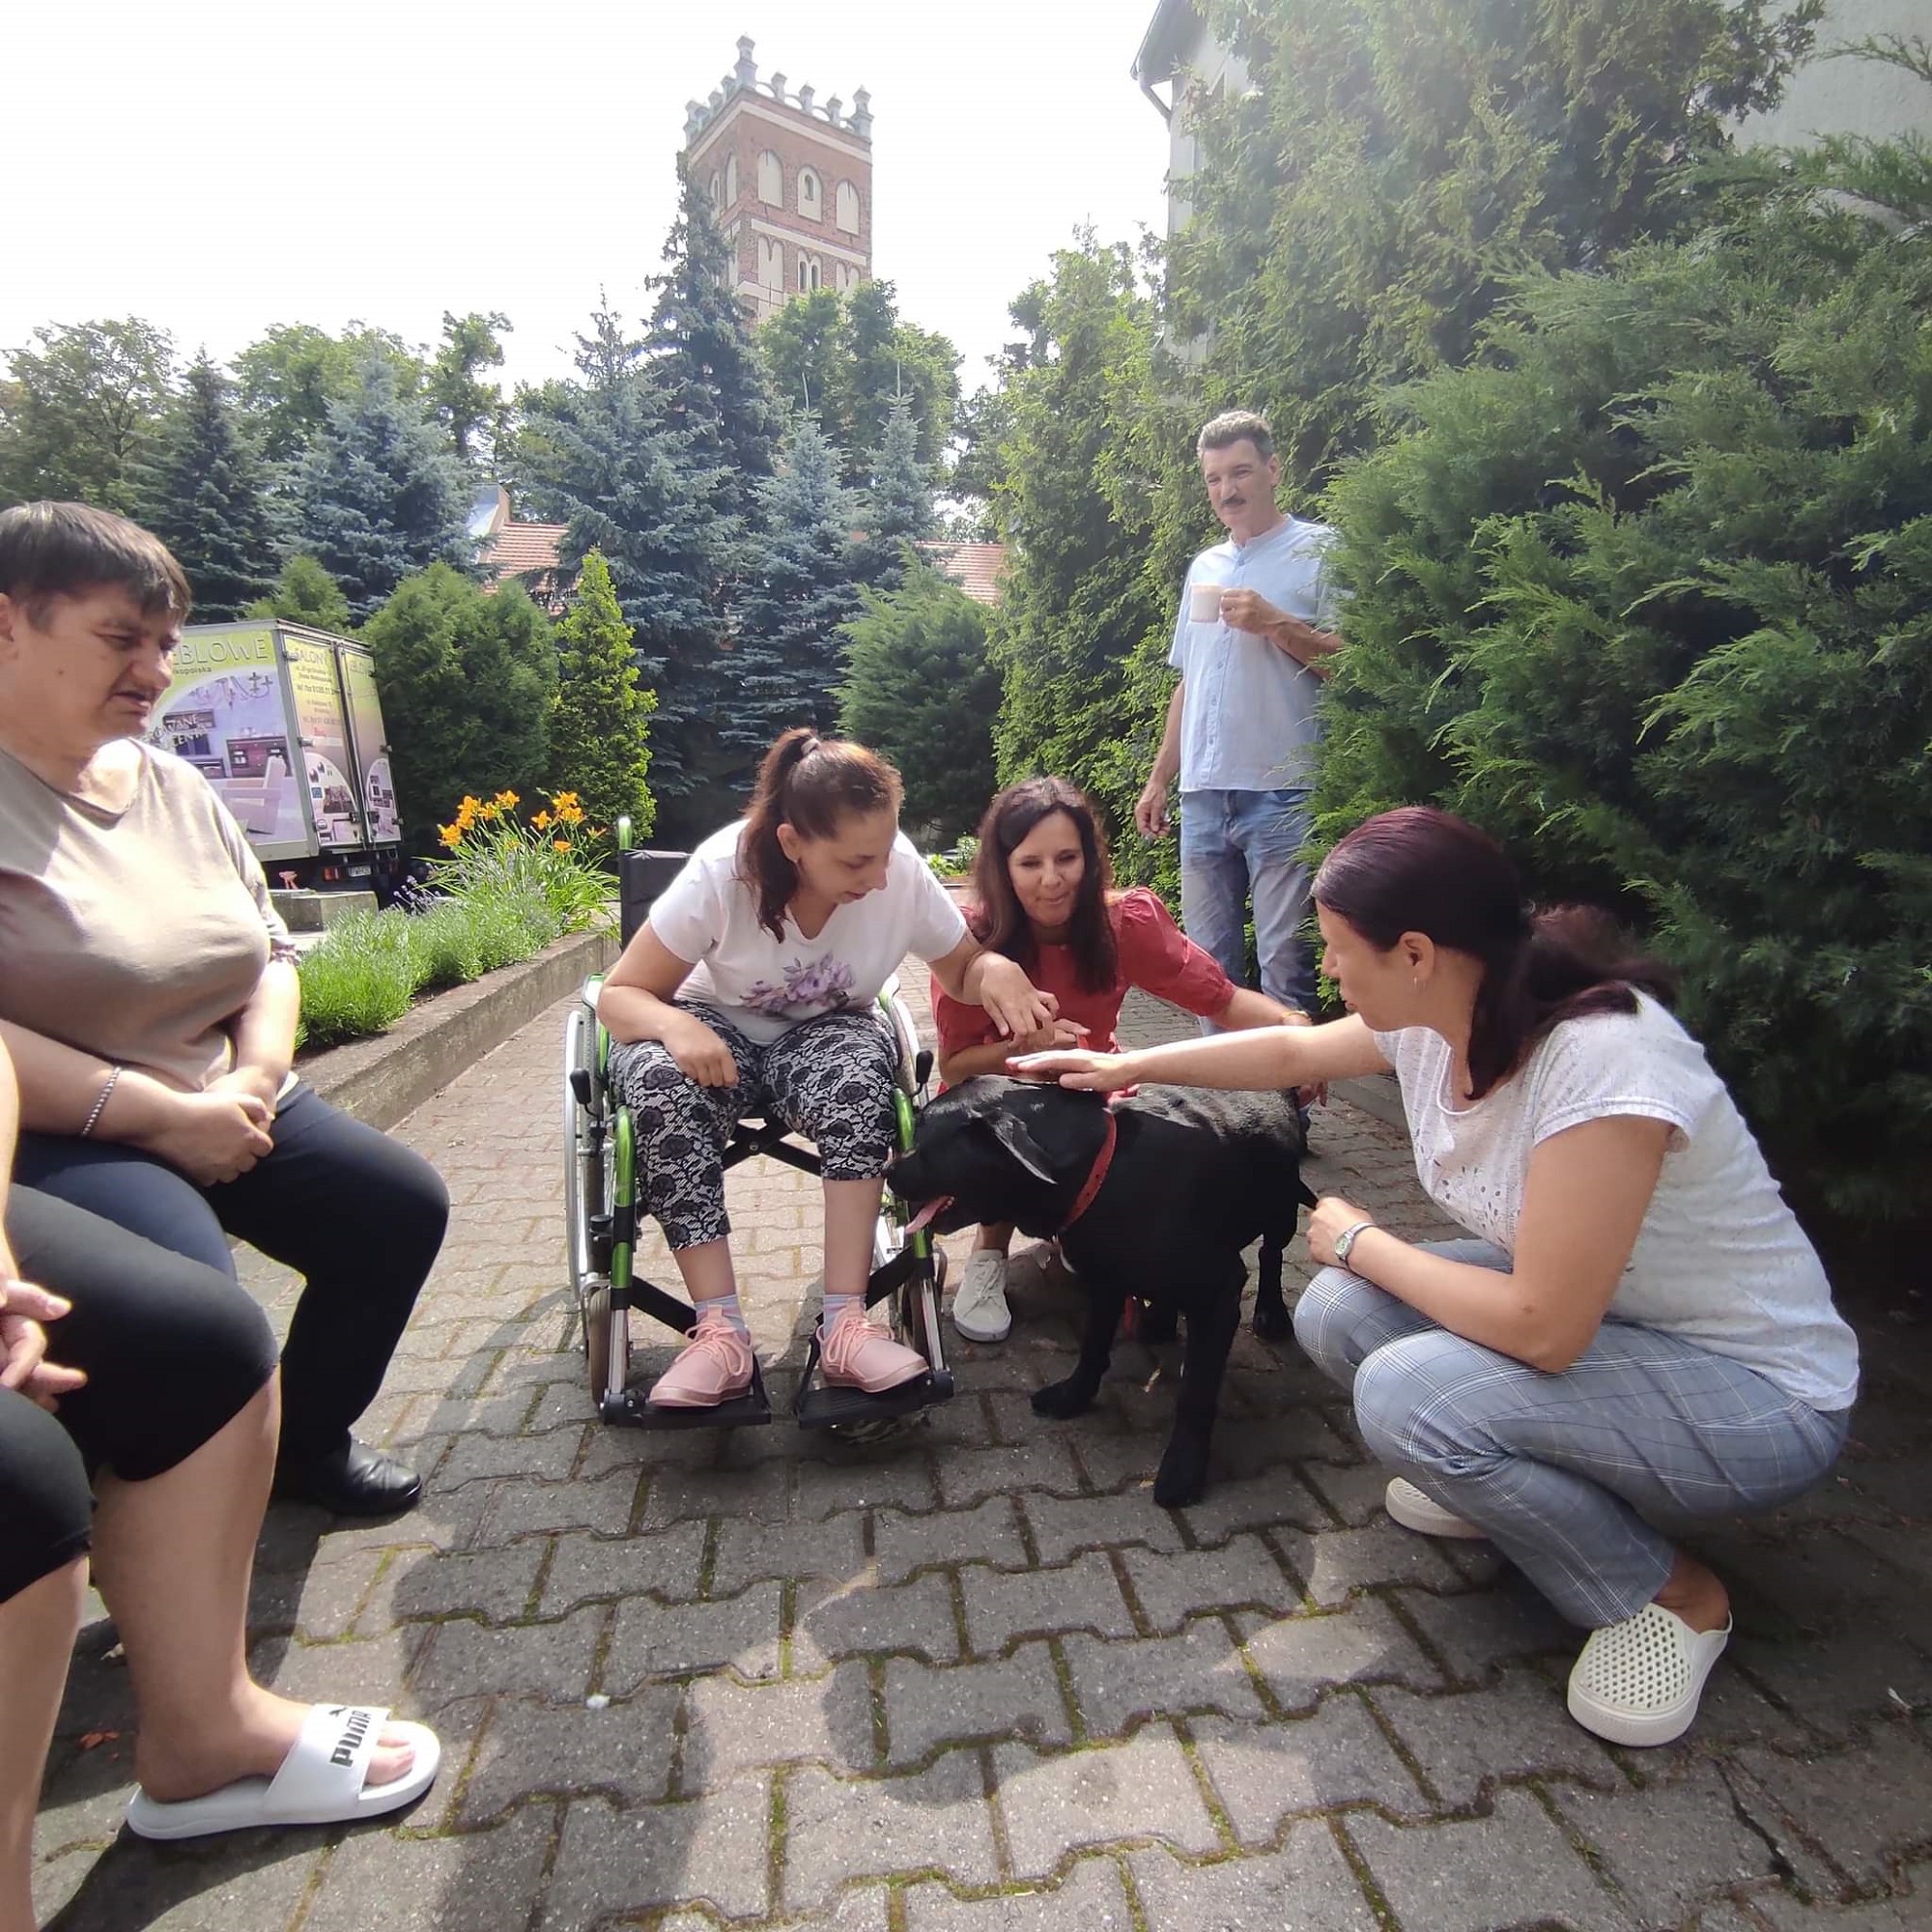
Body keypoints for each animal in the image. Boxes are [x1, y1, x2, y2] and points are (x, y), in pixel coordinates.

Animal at [891, 1075, 1311, 1506]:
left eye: (921, 1132)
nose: (887, 1171)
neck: (1101, 1170)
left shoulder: (1219, 1295)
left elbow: (1195, 1393)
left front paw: (1183, 1468)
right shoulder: (1106, 1277)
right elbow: (1092, 1347)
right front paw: (1074, 1397)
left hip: (1281, 1212)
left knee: (1271, 1253)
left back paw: (1270, 1312)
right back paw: (1159, 1319)